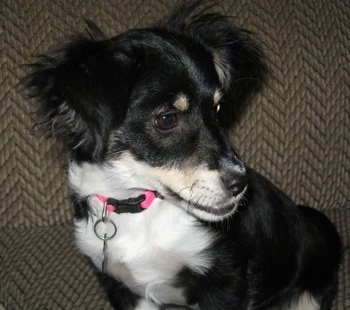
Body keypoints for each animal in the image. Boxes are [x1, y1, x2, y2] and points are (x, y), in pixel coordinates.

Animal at [23, 1, 342, 308]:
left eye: (217, 108)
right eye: (167, 119)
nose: (240, 185)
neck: (138, 207)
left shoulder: (226, 279)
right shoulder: (120, 287)